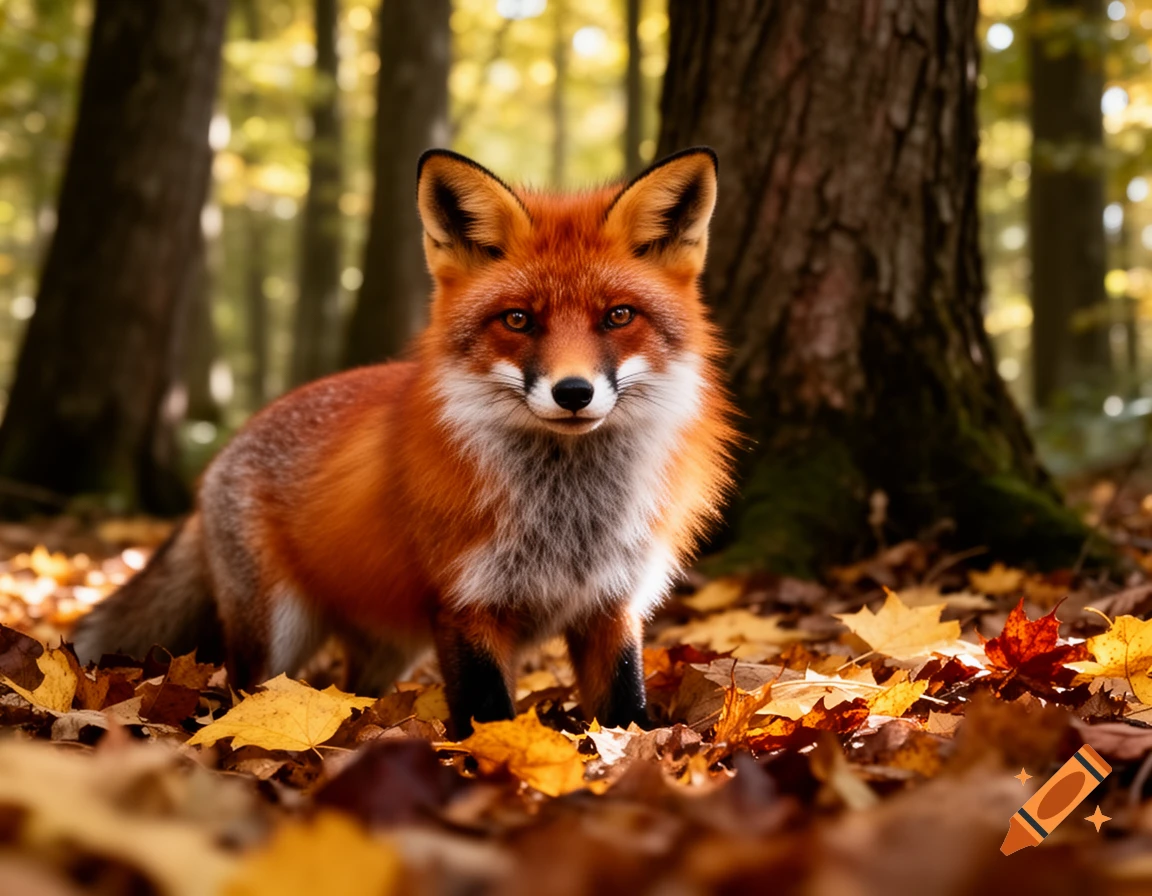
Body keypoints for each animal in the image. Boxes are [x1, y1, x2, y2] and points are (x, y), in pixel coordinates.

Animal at [73, 147, 737, 736]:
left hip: (389, 647)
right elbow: (488, 716)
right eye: (518, 319)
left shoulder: (613, 606)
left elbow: (627, 709)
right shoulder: (467, 604)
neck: (569, 518)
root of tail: (219, 460)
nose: (573, 392)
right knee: (246, 693)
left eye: (618, 316)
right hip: (277, 633)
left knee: (356, 689)